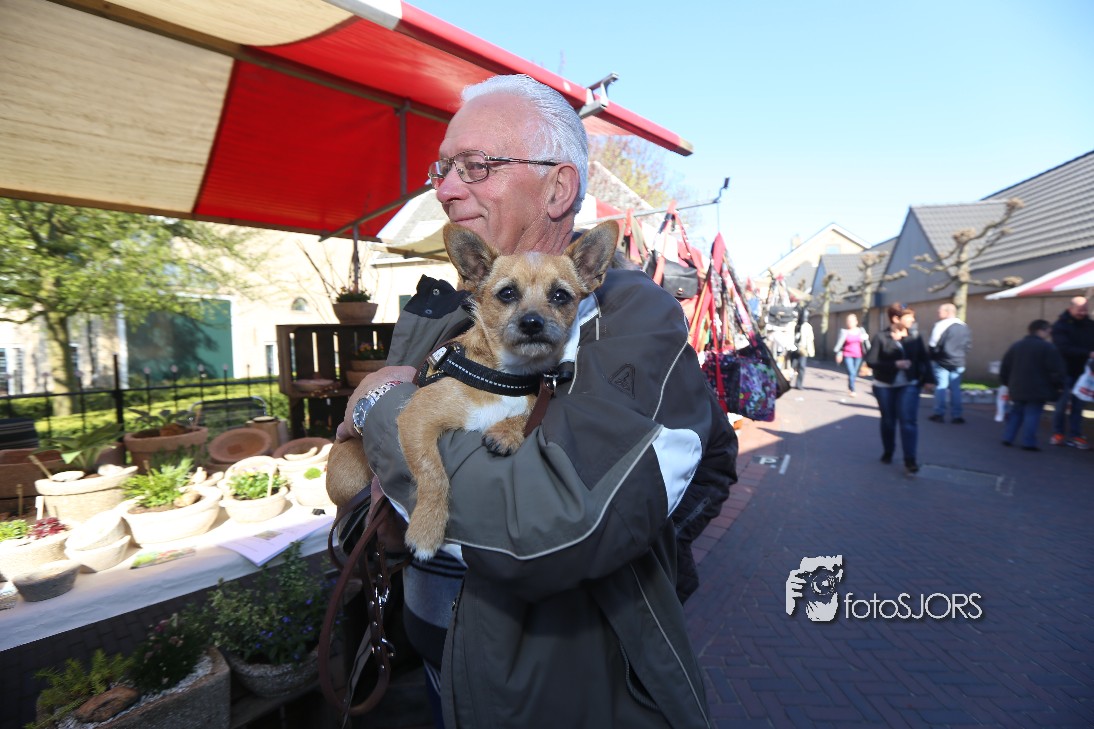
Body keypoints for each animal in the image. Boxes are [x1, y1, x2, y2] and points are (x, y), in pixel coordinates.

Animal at [326, 220, 618, 560]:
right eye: (507, 293)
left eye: (560, 296)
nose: (533, 322)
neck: (502, 375)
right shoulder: (414, 420)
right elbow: (432, 471)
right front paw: (427, 528)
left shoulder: (528, 400)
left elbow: (529, 410)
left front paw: (506, 432)